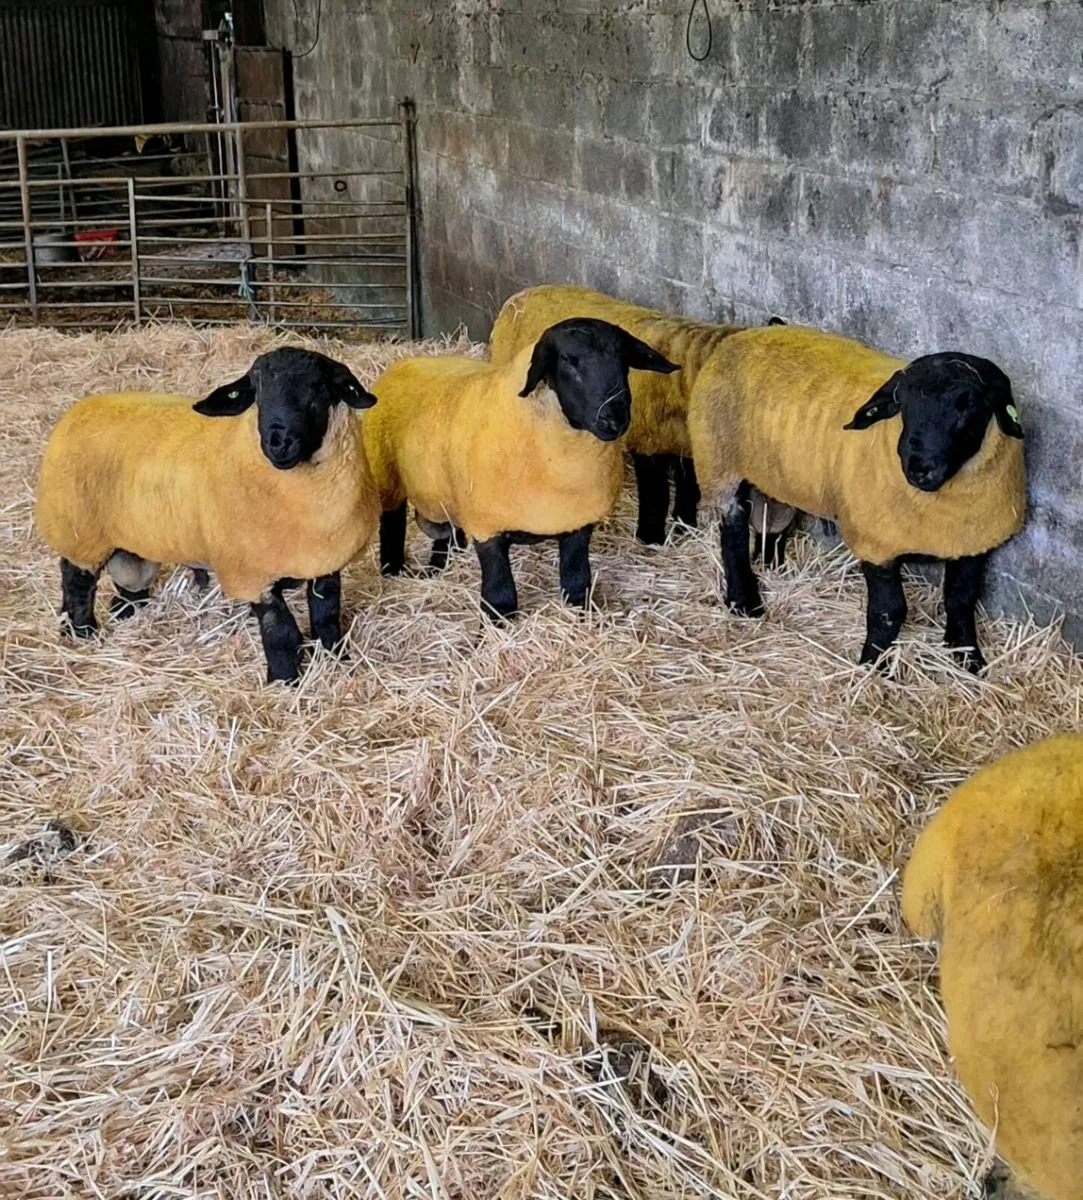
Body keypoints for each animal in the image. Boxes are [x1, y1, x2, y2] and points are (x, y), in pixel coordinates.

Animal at [35, 347, 380, 683]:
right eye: (257, 390)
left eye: (320, 388)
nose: (278, 443)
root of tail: (82, 406)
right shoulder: (253, 573)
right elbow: (281, 632)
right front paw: (284, 680)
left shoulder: (326, 561)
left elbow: (326, 618)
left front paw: (336, 661)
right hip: (80, 531)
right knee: (77, 581)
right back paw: (82, 632)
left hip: (130, 535)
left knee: (129, 576)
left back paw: (122, 612)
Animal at [363, 317, 678, 618]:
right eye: (569, 360)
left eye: (623, 359)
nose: (614, 419)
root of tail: (409, 361)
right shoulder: (487, 526)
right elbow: (500, 595)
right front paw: (495, 625)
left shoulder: (577, 522)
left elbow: (576, 581)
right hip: (387, 476)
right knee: (392, 526)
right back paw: (393, 571)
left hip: (441, 492)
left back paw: (439, 566)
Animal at [489, 284, 797, 553]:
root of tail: (519, 296)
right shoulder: (648, 441)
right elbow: (656, 493)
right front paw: (651, 538)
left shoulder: (683, 444)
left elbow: (688, 488)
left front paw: (684, 528)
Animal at [685, 324, 1026, 671]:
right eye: (902, 401)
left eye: (968, 403)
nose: (917, 467)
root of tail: (748, 333)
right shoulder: (876, 542)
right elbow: (890, 610)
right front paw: (873, 665)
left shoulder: (972, 542)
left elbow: (961, 599)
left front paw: (968, 657)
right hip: (721, 462)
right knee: (733, 531)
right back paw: (744, 601)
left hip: (775, 472)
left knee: (772, 519)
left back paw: (773, 567)